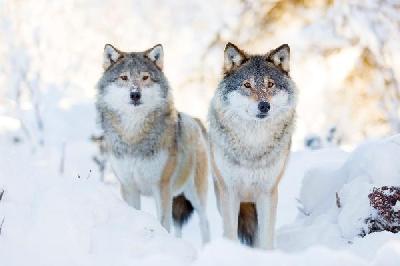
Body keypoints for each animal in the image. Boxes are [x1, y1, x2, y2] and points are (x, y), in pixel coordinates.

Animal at [95, 43, 211, 243]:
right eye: (124, 77)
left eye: (145, 77)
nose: (135, 94)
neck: (133, 136)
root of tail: (196, 121)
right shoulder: (129, 187)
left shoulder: (161, 186)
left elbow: (163, 223)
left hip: (195, 195)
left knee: (205, 223)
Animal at [209, 42, 296, 249]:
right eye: (247, 85)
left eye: (270, 84)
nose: (264, 106)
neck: (253, 144)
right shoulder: (229, 191)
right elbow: (230, 233)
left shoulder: (267, 193)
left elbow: (265, 238)